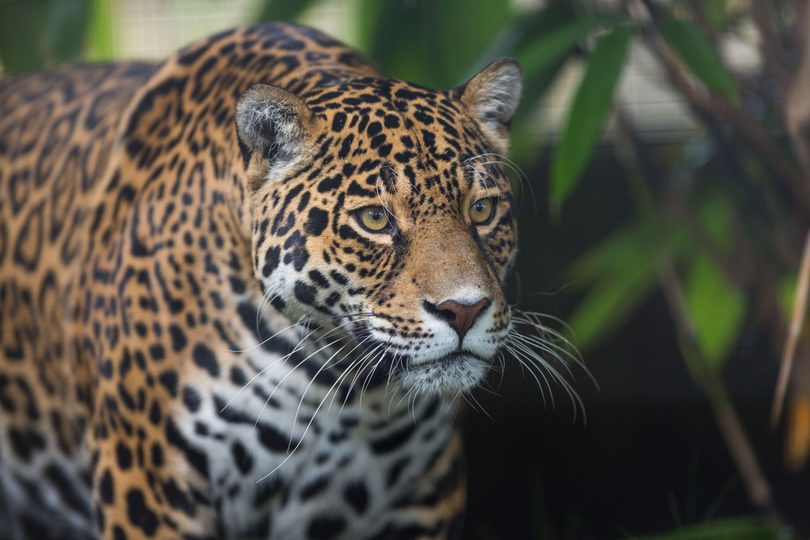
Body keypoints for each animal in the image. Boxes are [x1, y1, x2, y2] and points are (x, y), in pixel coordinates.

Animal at [0, 21, 530, 540]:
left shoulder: (421, 496)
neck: (341, 391)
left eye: (482, 210)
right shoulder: (148, 485)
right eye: (375, 219)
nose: (463, 310)